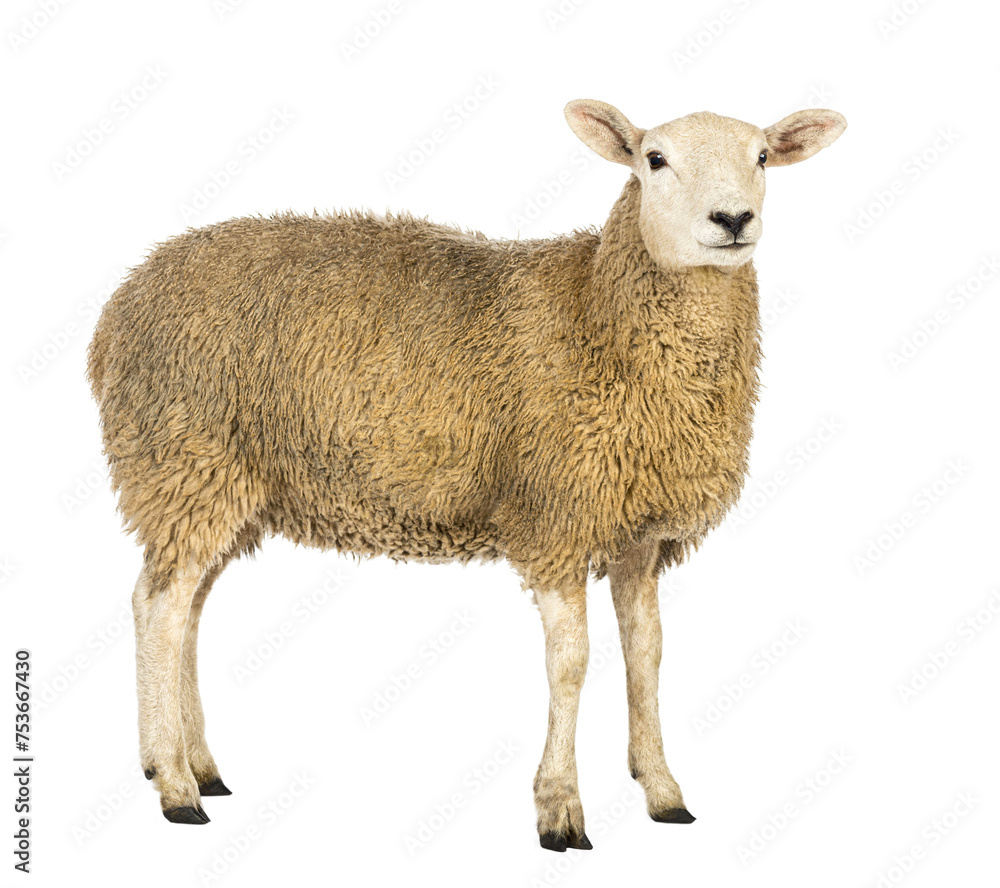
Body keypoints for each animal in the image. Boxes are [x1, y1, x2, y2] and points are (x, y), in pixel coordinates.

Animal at [87, 98, 846, 849]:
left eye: (762, 157)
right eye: (654, 159)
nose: (733, 220)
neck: (597, 310)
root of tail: (122, 304)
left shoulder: (638, 531)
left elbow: (647, 654)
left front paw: (662, 790)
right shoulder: (555, 516)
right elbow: (571, 661)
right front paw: (560, 808)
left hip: (225, 489)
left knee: (186, 611)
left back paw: (197, 765)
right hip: (184, 459)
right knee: (156, 608)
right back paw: (175, 788)